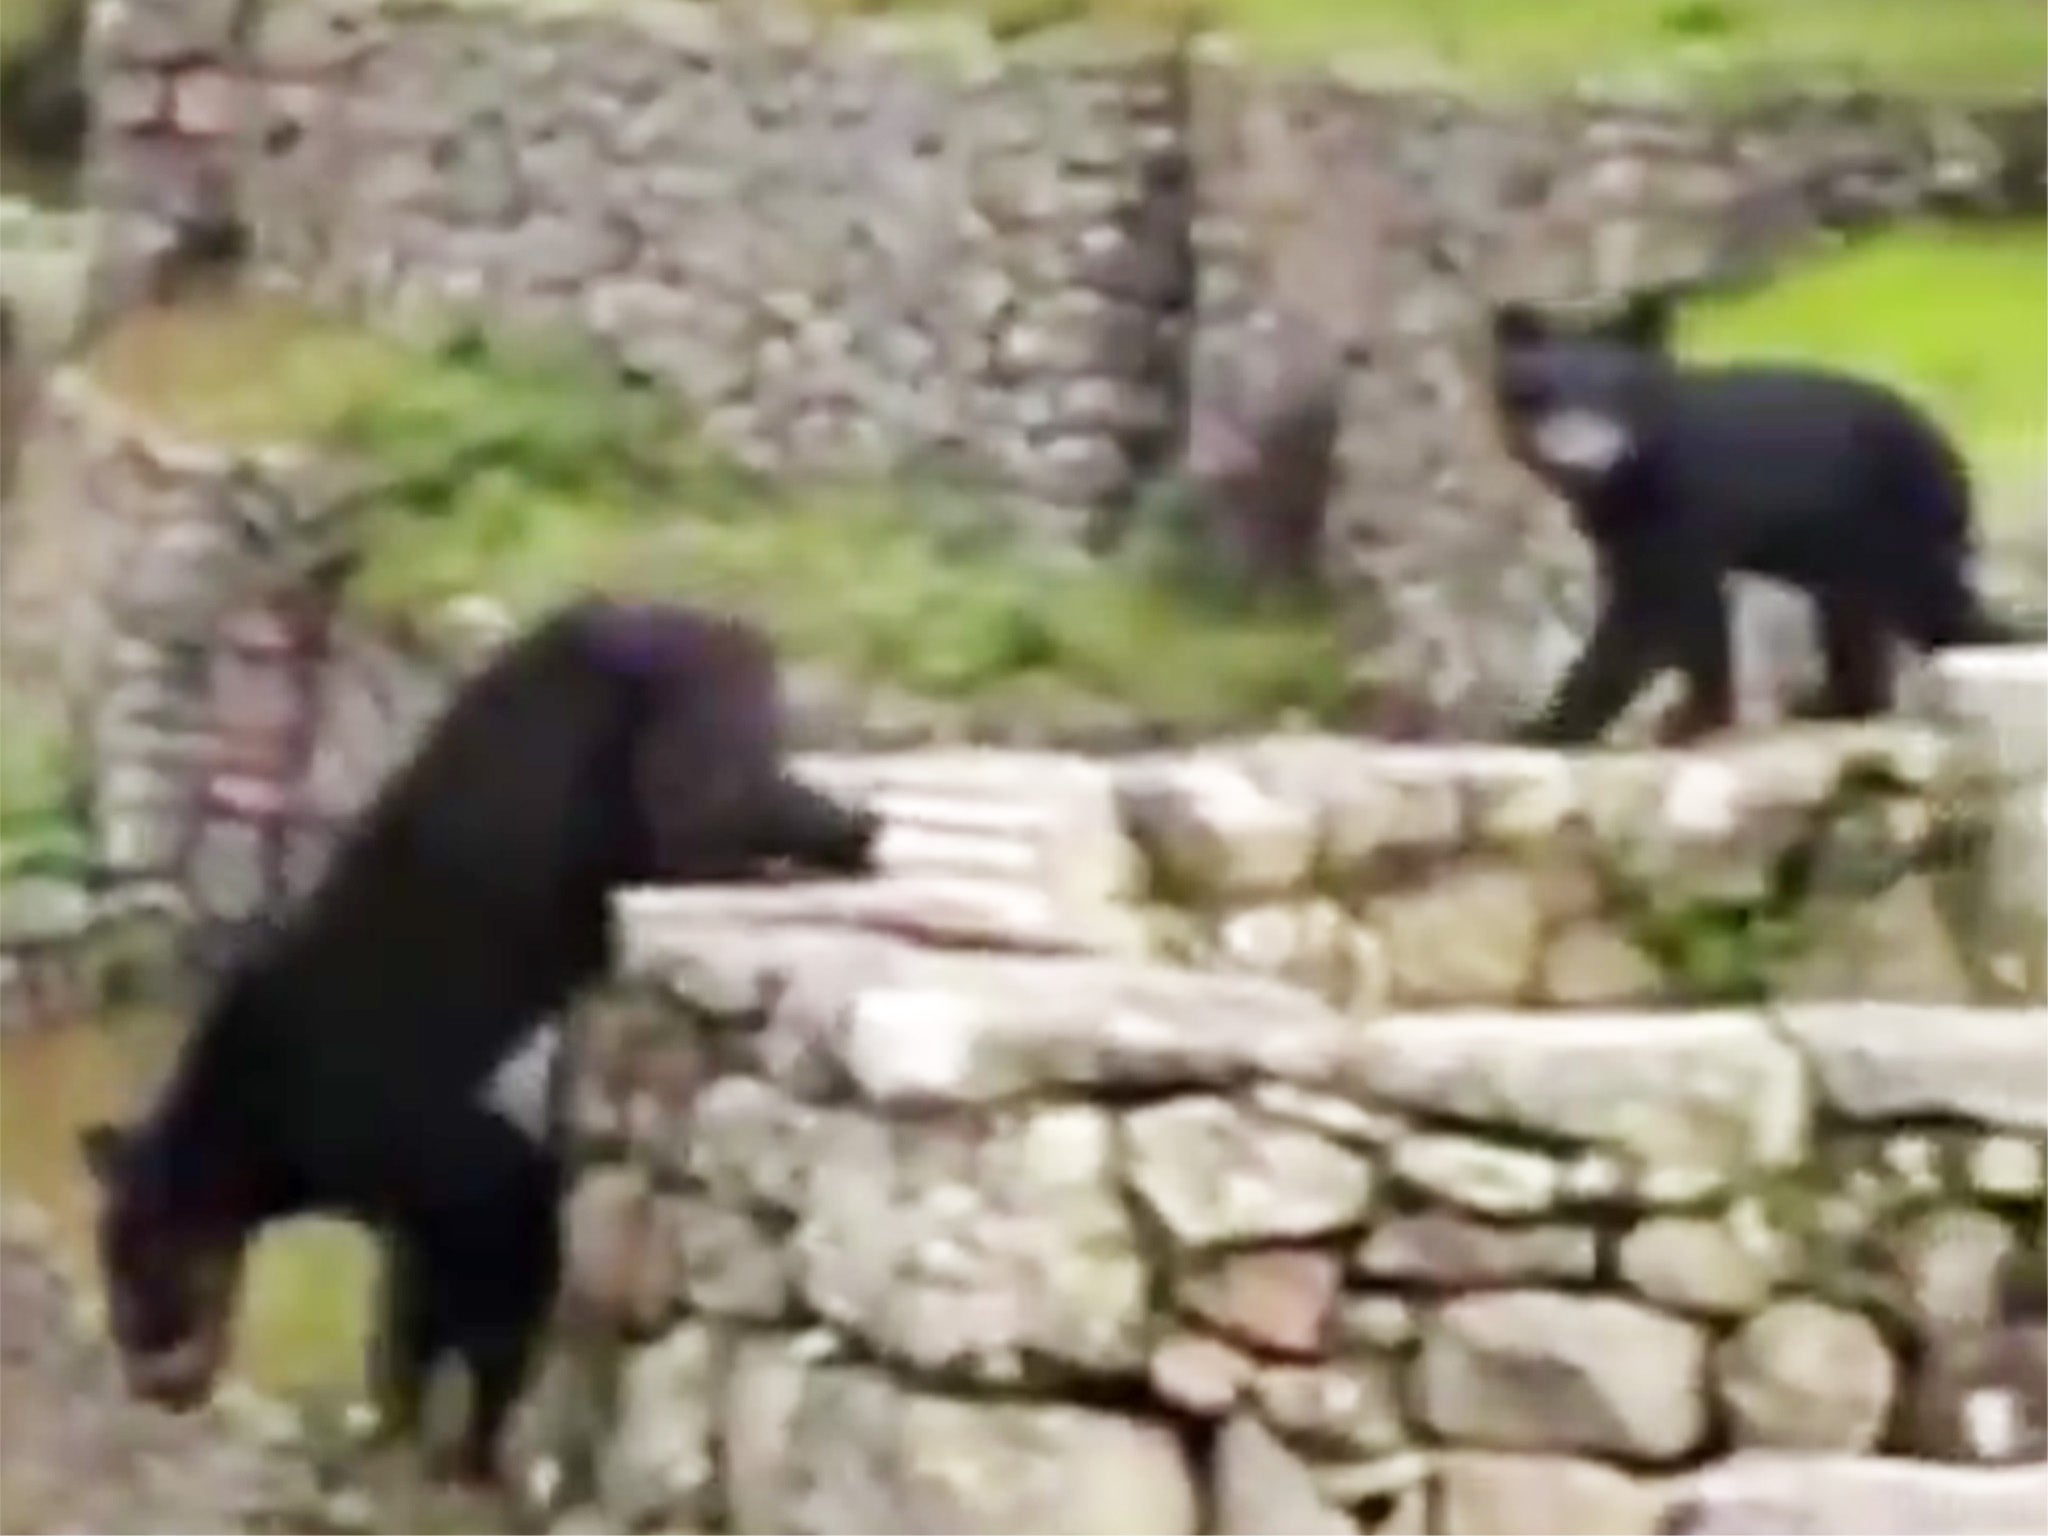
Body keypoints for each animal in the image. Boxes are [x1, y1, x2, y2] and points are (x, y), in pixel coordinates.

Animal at [74, 593, 880, 1482]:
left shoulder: (420, 1138)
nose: (153, 1388)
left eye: (148, 1291)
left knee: (710, 814)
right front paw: (390, 1420)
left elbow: (488, 1274)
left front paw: (468, 1445)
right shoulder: (396, 1197)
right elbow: (405, 1299)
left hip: (666, 729)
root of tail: (720, 618)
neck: (261, 1132)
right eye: (118, 1286)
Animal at [1490, 290, 2031, 753]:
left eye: (1618, 393)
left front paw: (1553, 728)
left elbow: (1654, 608)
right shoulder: (1617, 527)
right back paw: (1831, 703)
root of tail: (1954, 458)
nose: (1587, 457)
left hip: (1895, 521)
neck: (1628, 479)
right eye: (1546, 393)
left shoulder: (1684, 503)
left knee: (1934, 613)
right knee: (1854, 614)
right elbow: (1674, 607)